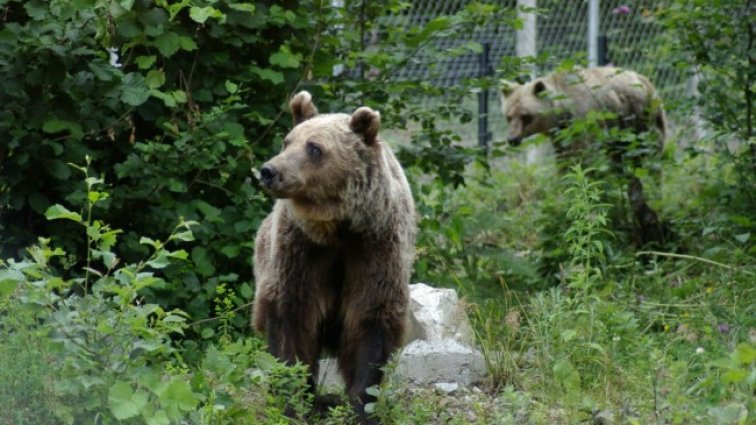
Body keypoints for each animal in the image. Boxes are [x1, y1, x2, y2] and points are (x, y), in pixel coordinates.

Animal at [254, 91, 420, 422]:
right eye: (286, 141)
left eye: (314, 147)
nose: (269, 171)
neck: (337, 227)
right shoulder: (300, 249)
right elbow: (290, 315)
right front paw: (294, 401)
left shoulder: (376, 247)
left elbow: (370, 321)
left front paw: (362, 406)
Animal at [502, 67, 668, 248]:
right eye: (509, 116)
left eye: (525, 116)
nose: (512, 139)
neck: (562, 111)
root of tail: (645, 80)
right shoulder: (562, 137)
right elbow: (565, 165)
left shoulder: (584, 122)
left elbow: (585, 161)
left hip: (642, 118)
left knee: (651, 160)